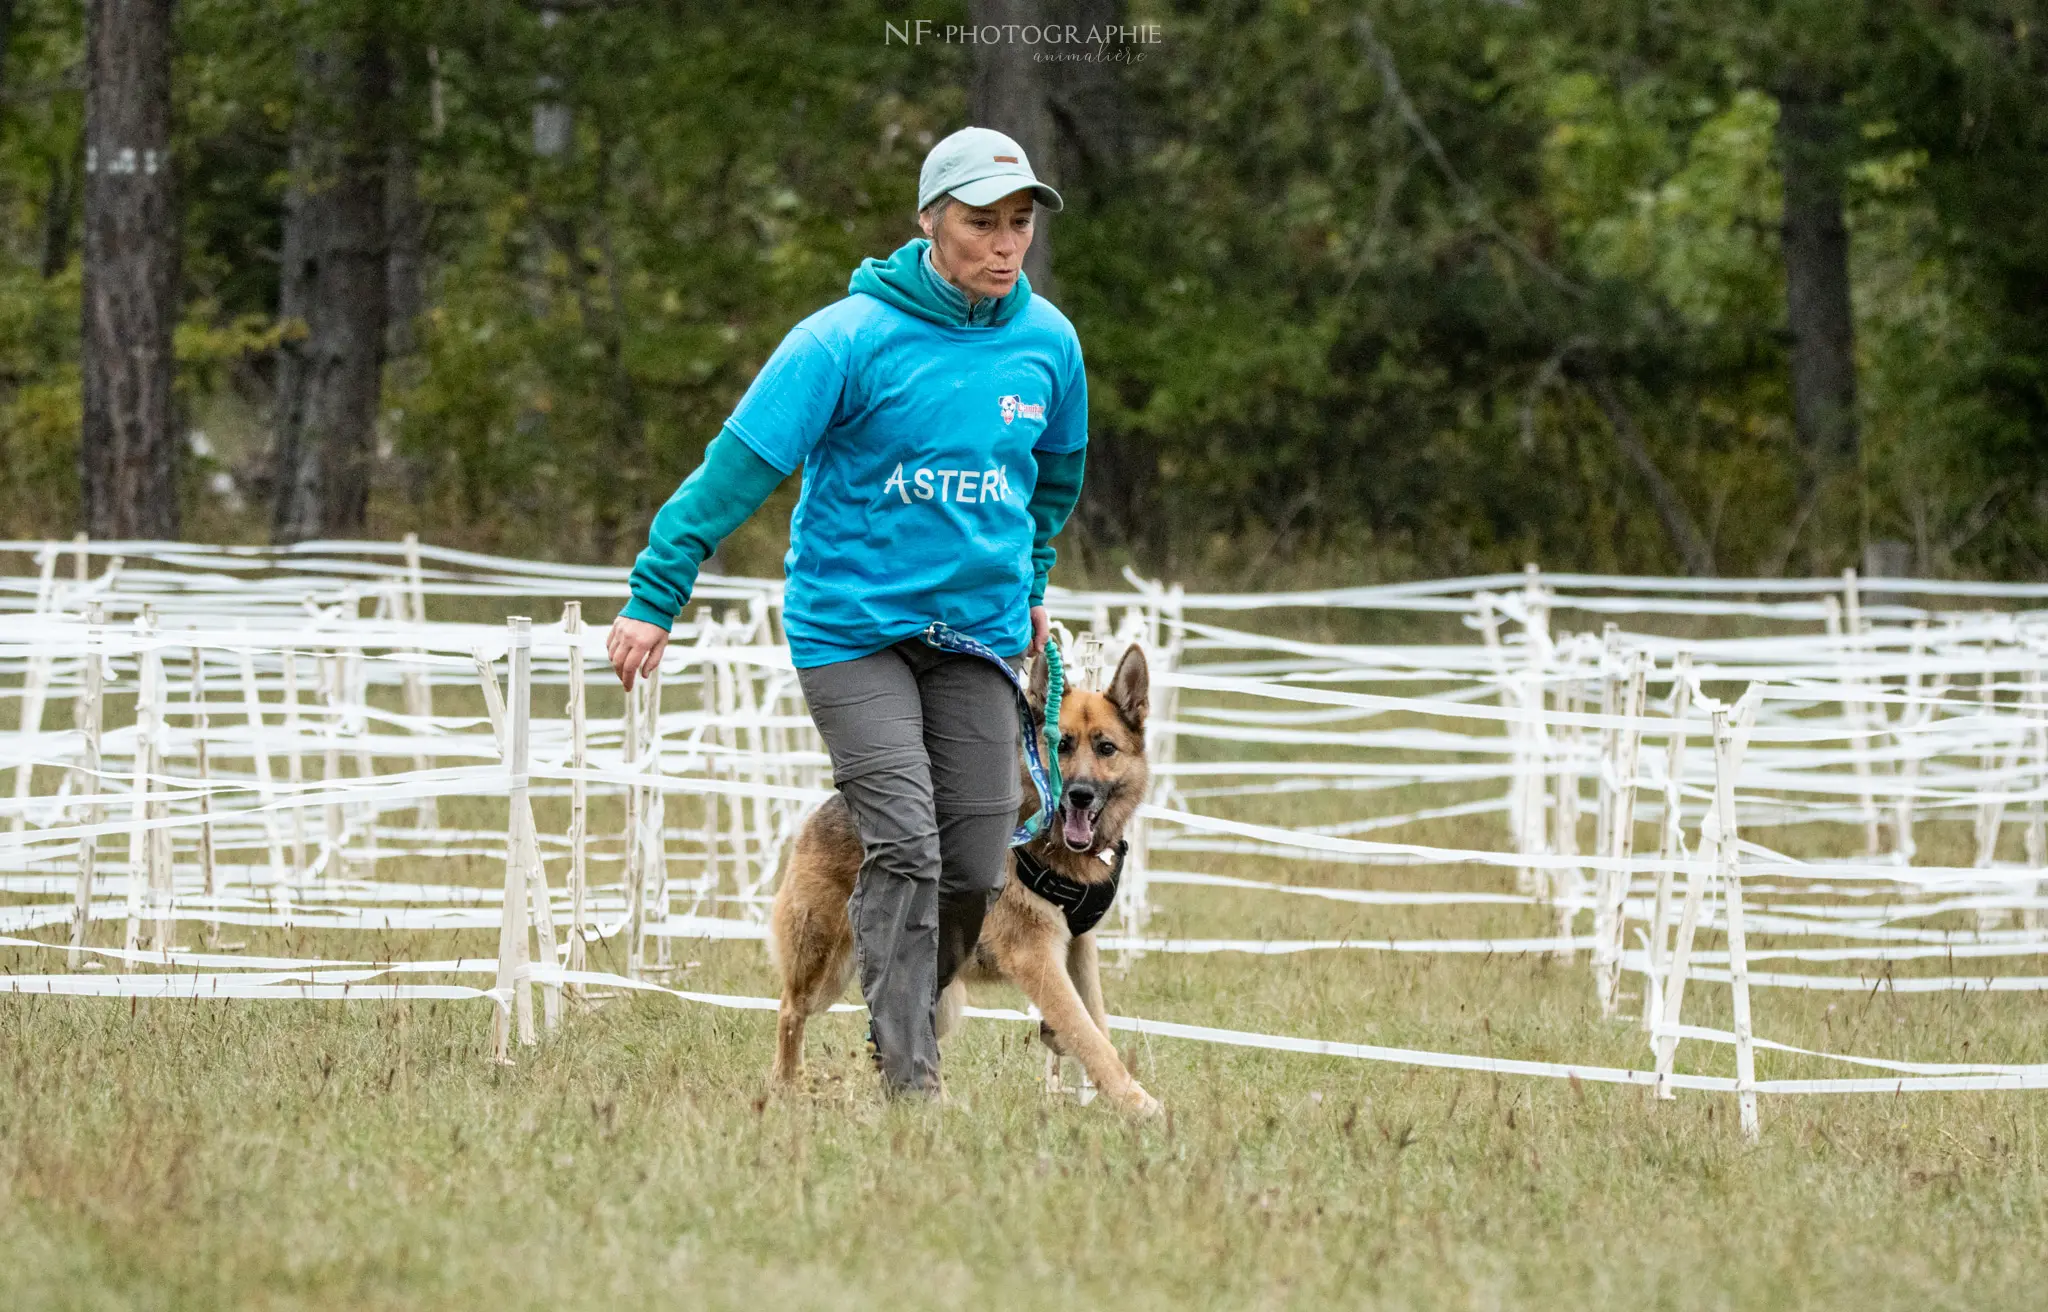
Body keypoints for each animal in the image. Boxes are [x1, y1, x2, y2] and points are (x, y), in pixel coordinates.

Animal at [770, 638, 1163, 1113]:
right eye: (1061, 745)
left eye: (1106, 748)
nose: (1080, 795)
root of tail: (831, 805)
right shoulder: (1036, 956)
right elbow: (1089, 1035)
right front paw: (1138, 1104)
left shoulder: (1079, 947)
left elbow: (1097, 1023)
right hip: (826, 966)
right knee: (790, 1010)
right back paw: (785, 1088)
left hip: (942, 998)